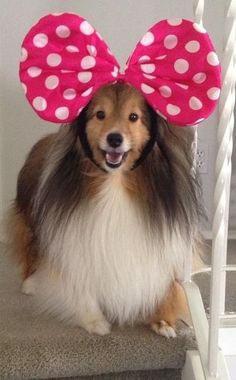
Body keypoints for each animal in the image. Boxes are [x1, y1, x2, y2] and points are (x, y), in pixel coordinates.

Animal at [9, 82, 201, 336]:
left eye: (133, 117)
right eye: (100, 114)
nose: (115, 139)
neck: (115, 182)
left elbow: (166, 284)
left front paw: (163, 320)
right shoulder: (75, 235)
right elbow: (80, 281)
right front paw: (93, 320)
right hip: (31, 220)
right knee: (32, 249)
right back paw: (30, 282)